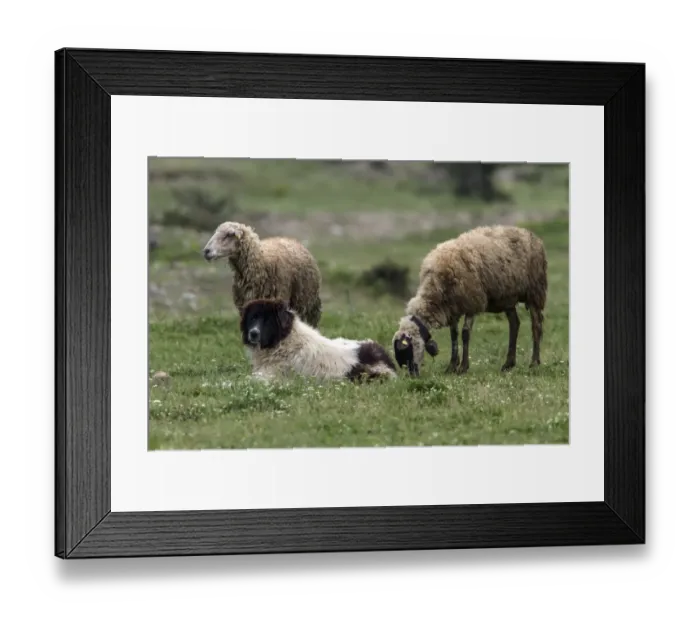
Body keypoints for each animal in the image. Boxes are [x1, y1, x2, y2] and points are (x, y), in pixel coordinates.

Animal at [392, 225, 547, 376]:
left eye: (407, 351)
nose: (412, 376)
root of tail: (531, 235)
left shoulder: (472, 302)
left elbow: (465, 334)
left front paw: (463, 367)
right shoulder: (452, 308)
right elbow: (453, 335)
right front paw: (451, 366)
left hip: (535, 290)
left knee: (536, 325)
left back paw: (534, 363)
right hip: (508, 297)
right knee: (514, 324)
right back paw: (508, 364)